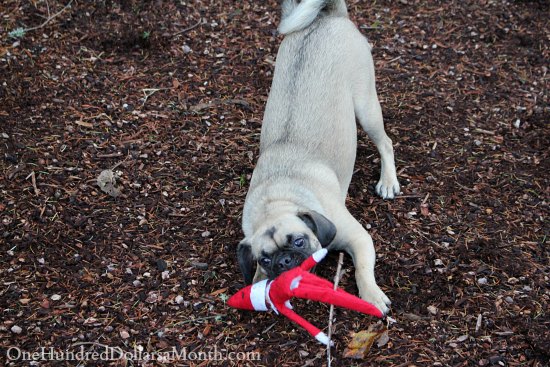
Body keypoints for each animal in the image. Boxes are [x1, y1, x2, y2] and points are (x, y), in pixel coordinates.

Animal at [237, 0, 402, 316]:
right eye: (265, 258)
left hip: (367, 108)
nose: (284, 261)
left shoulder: (358, 238)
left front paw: (371, 296)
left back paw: (388, 181)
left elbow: (363, 269)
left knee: (385, 143)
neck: (278, 197)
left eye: (299, 241)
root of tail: (328, 18)